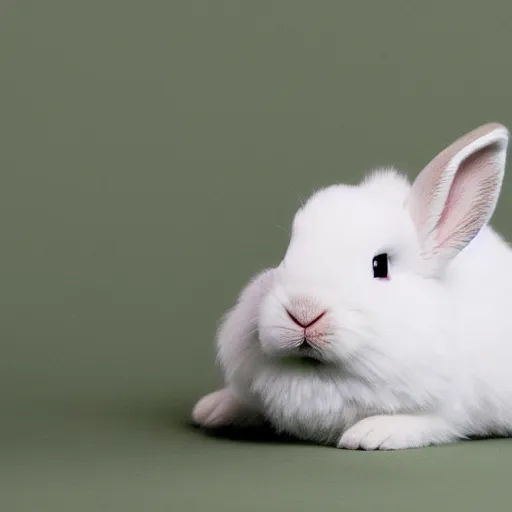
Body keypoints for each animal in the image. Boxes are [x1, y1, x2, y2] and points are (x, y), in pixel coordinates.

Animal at [191, 125, 512, 452]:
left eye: (380, 266)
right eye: (284, 256)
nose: (303, 311)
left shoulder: (452, 411)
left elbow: (432, 421)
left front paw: (371, 434)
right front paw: (212, 408)